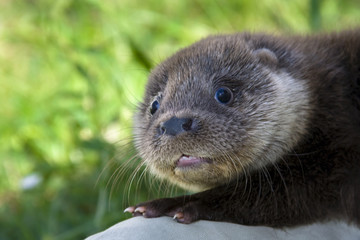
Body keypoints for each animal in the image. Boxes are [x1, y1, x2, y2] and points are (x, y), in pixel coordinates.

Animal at [124, 30, 360, 227]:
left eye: (223, 93)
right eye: (154, 105)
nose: (173, 124)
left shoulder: (332, 159)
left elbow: (283, 196)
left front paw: (173, 204)